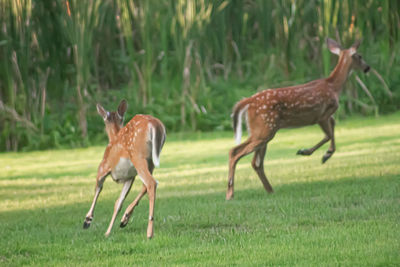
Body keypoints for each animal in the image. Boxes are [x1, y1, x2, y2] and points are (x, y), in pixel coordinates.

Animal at [83, 99, 166, 239]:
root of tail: (156, 125)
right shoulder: (129, 177)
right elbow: (118, 203)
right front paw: (109, 231)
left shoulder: (103, 167)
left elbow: (98, 188)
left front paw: (87, 220)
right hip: (150, 162)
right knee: (147, 184)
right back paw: (125, 219)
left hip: (138, 156)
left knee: (151, 183)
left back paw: (149, 232)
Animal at [227, 38, 370, 201]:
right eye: (360, 56)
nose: (368, 67)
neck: (333, 86)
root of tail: (248, 101)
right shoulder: (322, 114)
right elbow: (328, 134)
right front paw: (311, 153)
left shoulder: (326, 115)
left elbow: (333, 126)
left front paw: (325, 154)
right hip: (264, 130)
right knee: (235, 152)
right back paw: (230, 193)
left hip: (262, 131)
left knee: (255, 162)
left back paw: (270, 190)